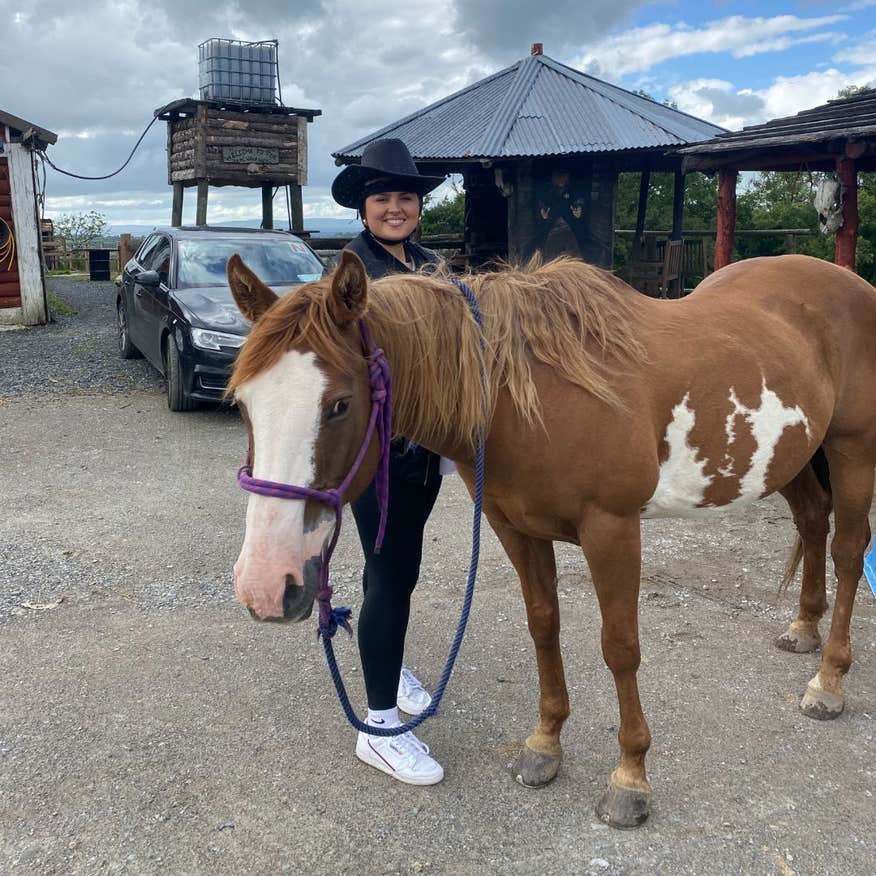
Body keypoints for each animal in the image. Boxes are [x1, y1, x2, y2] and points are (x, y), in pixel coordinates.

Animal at [222, 252, 872, 828]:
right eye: (244, 405)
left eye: (339, 404)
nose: (264, 587)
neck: (525, 396)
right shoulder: (514, 528)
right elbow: (543, 627)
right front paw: (544, 746)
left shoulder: (612, 529)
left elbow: (620, 648)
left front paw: (630, 779)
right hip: (794, 459)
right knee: (813, 522)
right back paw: (803, 629)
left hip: (850, 451)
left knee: (847, 551)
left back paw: (829, 681)